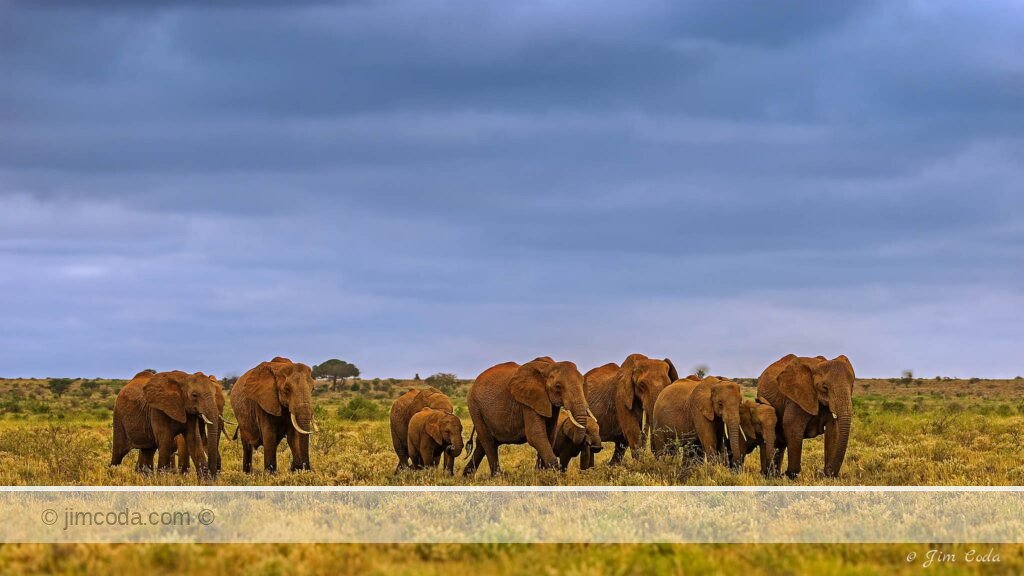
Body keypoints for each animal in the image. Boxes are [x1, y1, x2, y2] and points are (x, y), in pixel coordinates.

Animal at [463, 357, 594, 476]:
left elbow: (549, 435)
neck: (548, 367)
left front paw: (541, 474)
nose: (587, 441)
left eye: (583, 383)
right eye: (558, 386)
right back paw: (497, 477)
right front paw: (554, 476)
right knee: (488, 441)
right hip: (474, 406)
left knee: (483, 442)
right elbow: (535, 435)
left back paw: (467, 476)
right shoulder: (528, 400)